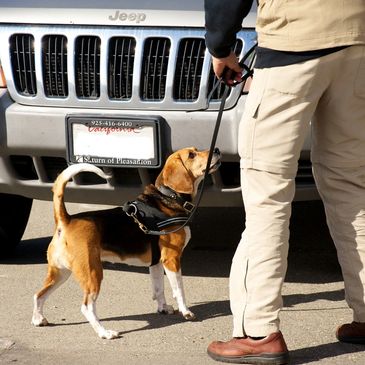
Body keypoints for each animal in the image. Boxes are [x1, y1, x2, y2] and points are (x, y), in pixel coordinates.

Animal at [31, 147, 220, 338]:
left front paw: (163, 308)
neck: (169, 197)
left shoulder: (157, 263)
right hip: (92, 273)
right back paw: (104, 333)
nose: (217, 150)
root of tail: (66, 220)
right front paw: (186, 312)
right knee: (87, 307)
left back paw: (38, 319)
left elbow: (159, 289)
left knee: (38, 295)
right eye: (192, 155)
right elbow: (179, 289)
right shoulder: (171, 259)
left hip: (60, 273)